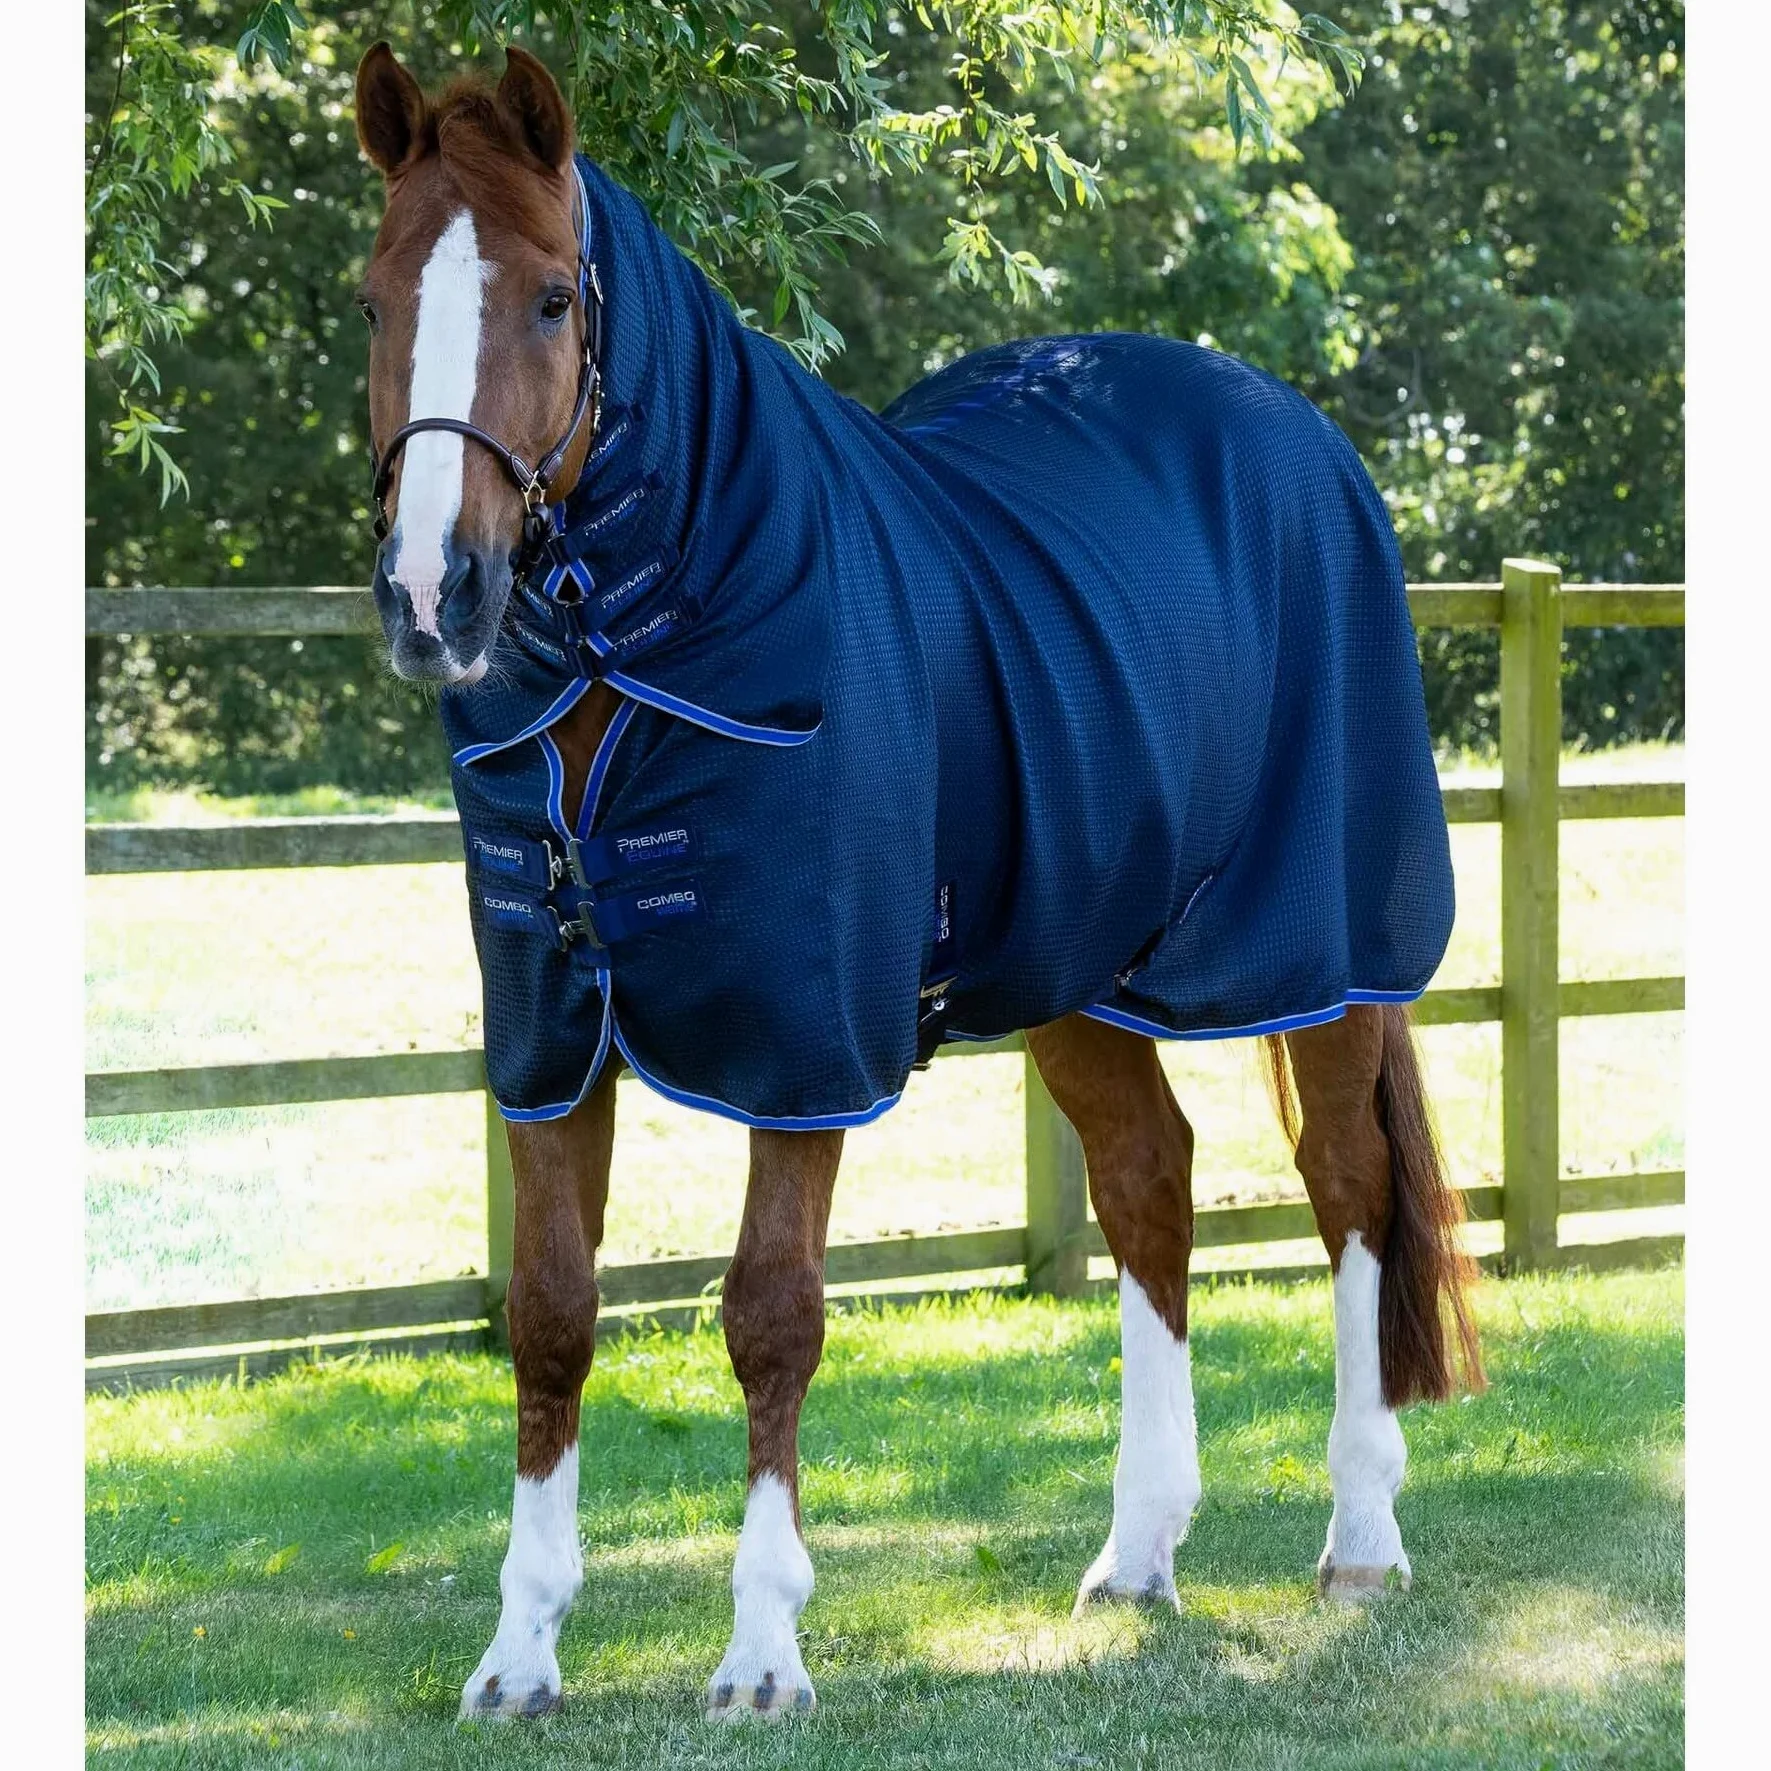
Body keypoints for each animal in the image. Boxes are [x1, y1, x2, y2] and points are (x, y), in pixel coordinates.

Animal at [352, 42, 1483, 1722]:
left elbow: (769, 1310)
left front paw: (761, 1650)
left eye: (553, 298)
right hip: (1077, 971)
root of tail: (1298, 435)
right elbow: (550, 1314)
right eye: (374, 300)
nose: (436, 595)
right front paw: (520, 1652)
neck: (653, 659)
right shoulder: (551, 1036)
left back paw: (1357, 1534)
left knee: (1346, 1193)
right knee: (1148, 1185)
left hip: (1324, 950)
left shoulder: (803, 1046)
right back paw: (1136, 1550)